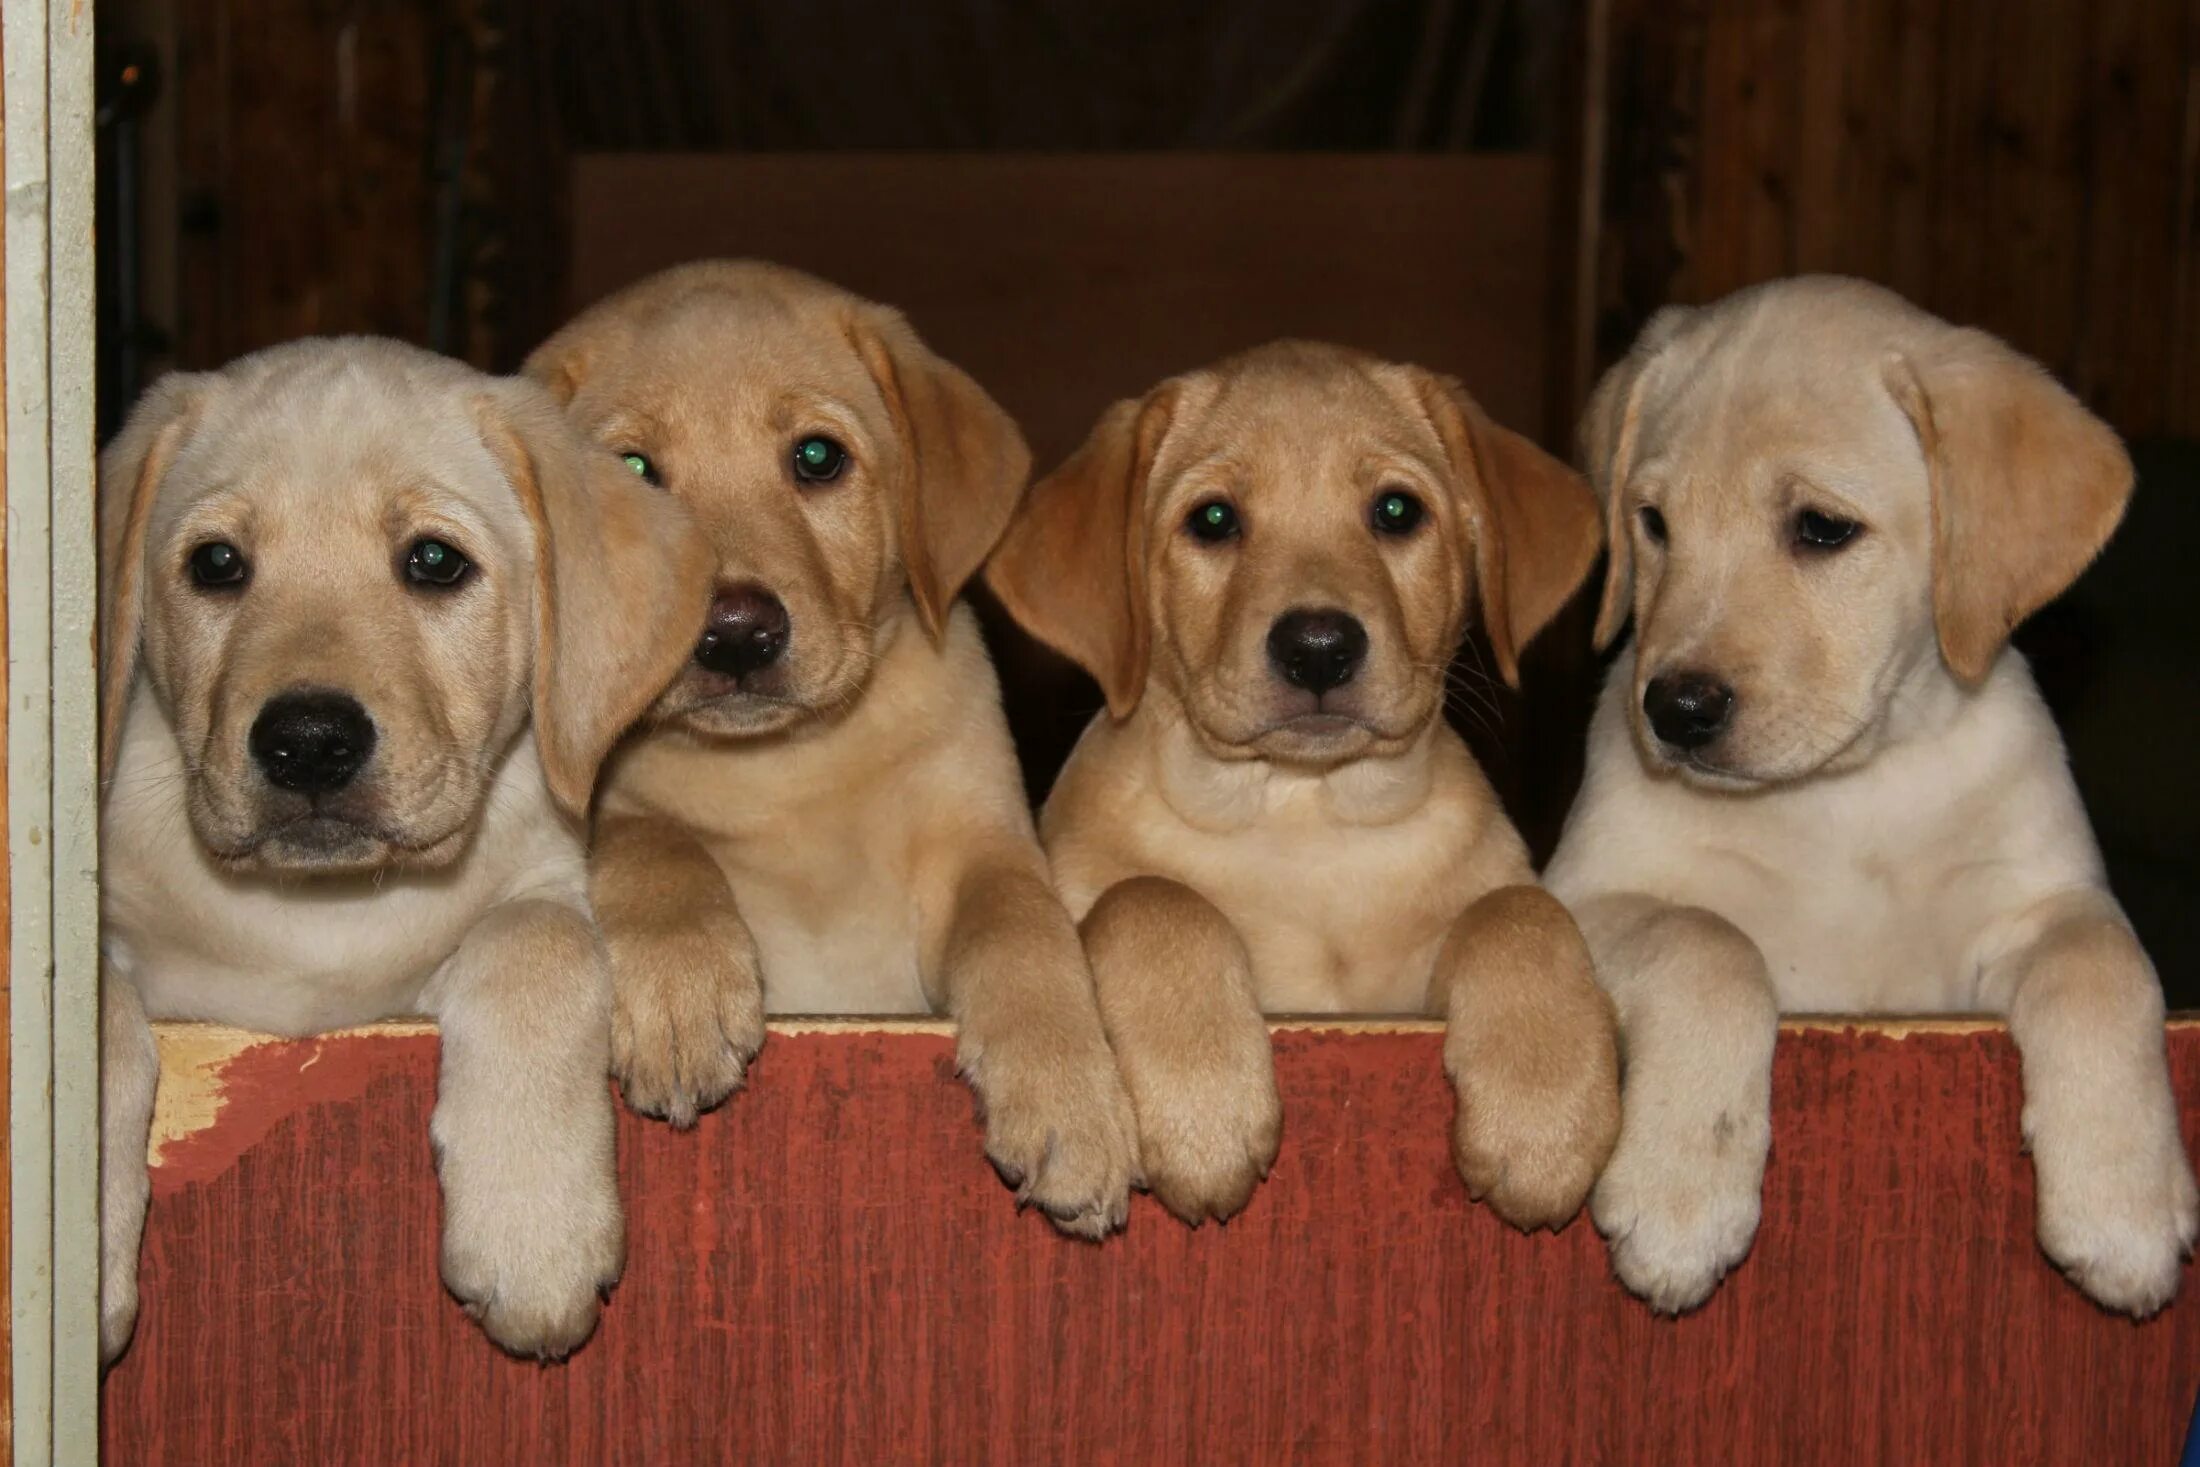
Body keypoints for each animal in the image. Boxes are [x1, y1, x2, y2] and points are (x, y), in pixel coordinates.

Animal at [99, 336, 704, 1363]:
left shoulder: (544, 884)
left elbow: (538, 941)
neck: (325, 910)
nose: (307, 740)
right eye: (216, 563)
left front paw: (532, 1226)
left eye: (433, 561)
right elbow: (92, 1005)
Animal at [519, 260, 1135, 1240]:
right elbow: (647, 837)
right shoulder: (595, 806)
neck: (783, 771)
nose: (736, 634)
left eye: (817, 458)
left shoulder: (981, 847)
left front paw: (1068, 1095)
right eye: (636, 472)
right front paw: (681, 987)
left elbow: (1023, 933)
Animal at [990, 340, 1628, 1231]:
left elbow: (1521, 911)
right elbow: (1150, 896)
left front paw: (1543, 1113)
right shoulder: (1099, 890)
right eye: (1213, 520)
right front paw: (1203, 1103)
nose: (1319, 647)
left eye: (1395, 510)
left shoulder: (1410, 998)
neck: (1300, 818)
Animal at [1548, 274, 2200, 1319]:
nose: (1676, 709)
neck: (1841, 793)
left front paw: (2122, 1205)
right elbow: (1708, 940)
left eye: (1822, 528)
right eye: (1653, 524)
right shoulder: (1582, 898)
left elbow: (2105, 969)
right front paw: (1684, 1192)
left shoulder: (2040, 906)